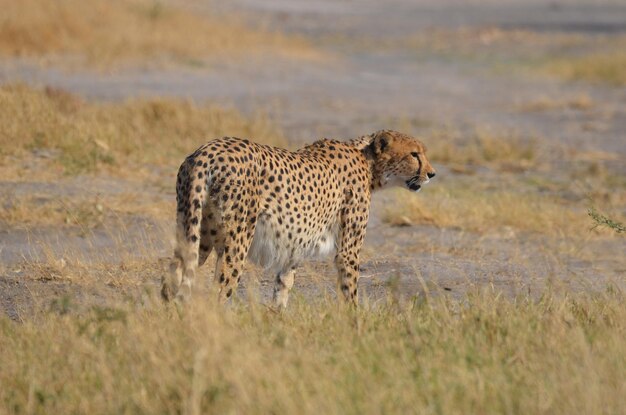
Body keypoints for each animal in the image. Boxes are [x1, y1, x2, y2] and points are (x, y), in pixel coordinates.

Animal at [161, 130, 434, 308]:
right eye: (414, 154)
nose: (432, 173)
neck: (368, 162)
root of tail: (207, 151)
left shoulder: (293, 247)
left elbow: (283, 287)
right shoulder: (347, 250)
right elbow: (350, 291)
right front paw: (357, 330)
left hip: (196, 231)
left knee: (170, 279)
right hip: (236, 240)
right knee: (219, 289)